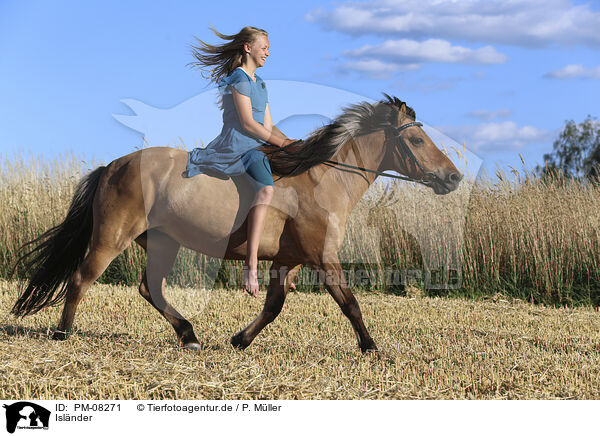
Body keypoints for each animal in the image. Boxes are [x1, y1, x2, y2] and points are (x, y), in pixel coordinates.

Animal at [9, 93, 462, 352]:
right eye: (416, 140)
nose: (454, 178)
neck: (322, 178)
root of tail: (112, 166)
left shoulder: (288, 260)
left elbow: (274, 306)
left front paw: (239, 340)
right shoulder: (322, 255)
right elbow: (349, 302)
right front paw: (370, 347)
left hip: (162, 242)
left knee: (149, 288)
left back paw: (190, 336)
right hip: (111, 236)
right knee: (82, 279)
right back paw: (63, 335)